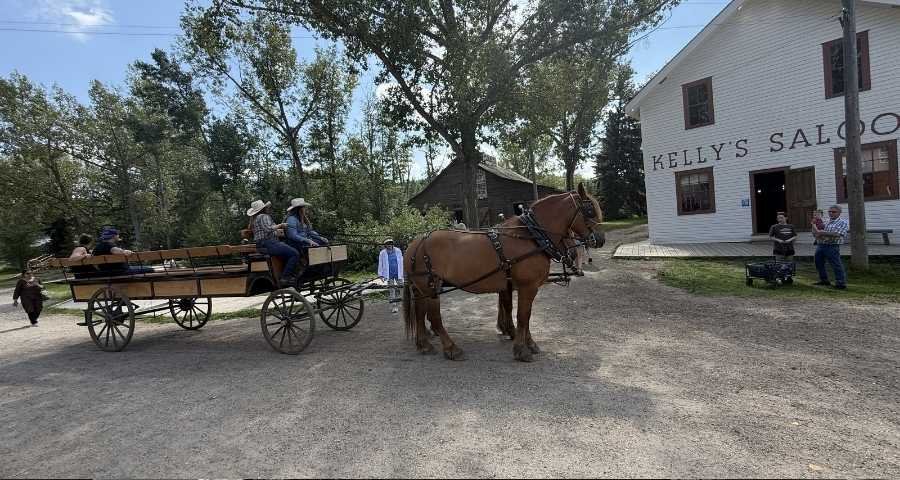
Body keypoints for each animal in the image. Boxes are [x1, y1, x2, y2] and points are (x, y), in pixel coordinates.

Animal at [402, 182, 603, 362]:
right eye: (590, 210)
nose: (600, 239)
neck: (531, 236)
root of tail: (415, 243)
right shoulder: (527, 286)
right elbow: (523, 315)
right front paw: (521, 349)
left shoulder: (514, 286)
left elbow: (522, 314)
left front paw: (527, 342)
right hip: (430, 286)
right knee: (434, 317)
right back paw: (451, 348)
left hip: (422, 288)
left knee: (420, 312)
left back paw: (424, 345)